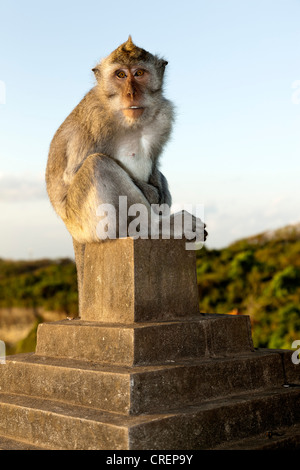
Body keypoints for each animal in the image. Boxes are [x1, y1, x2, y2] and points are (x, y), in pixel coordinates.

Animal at [46, 36, 206, 312]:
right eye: (120, 75)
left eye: (139, 73)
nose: (131, 93)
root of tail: (73, 234)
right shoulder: (95, 119)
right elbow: (71, 174)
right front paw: (151, 197)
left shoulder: (164, 116)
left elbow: (155, 165)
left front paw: (156, 188)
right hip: (84, 221)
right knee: (97, 165)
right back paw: (156, 226)